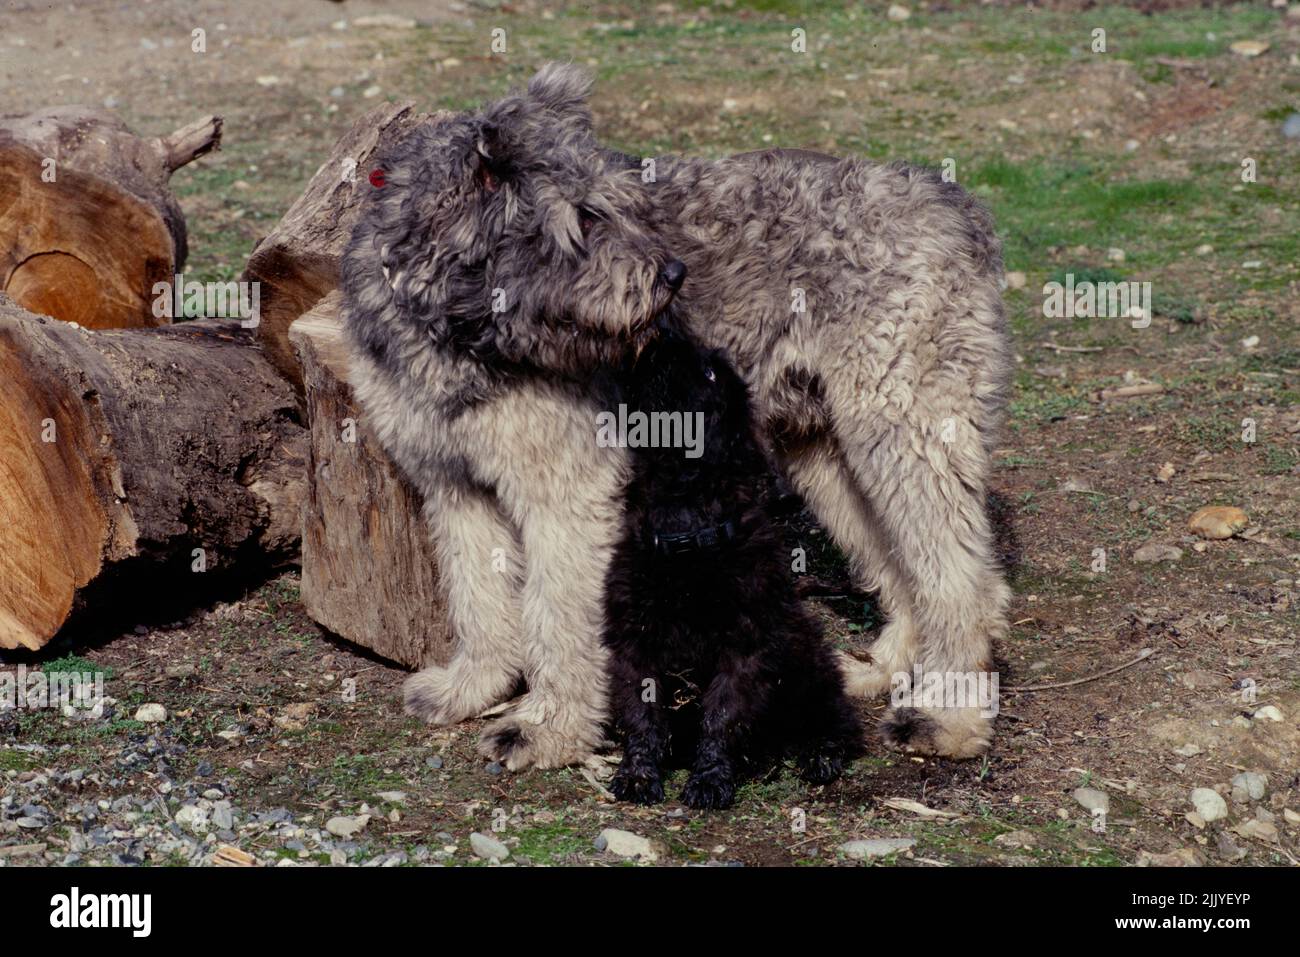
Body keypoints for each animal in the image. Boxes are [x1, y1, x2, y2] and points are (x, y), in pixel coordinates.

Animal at [598, 321, 863, 806]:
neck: (683, 517)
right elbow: (643, 717)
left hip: (808, 663)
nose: (660, 332)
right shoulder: (634, 645)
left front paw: (709, 779)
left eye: (708, 374)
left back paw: (821, 754)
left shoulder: (744, 648)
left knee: (837, 720)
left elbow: (721, 718)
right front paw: (639, 774)